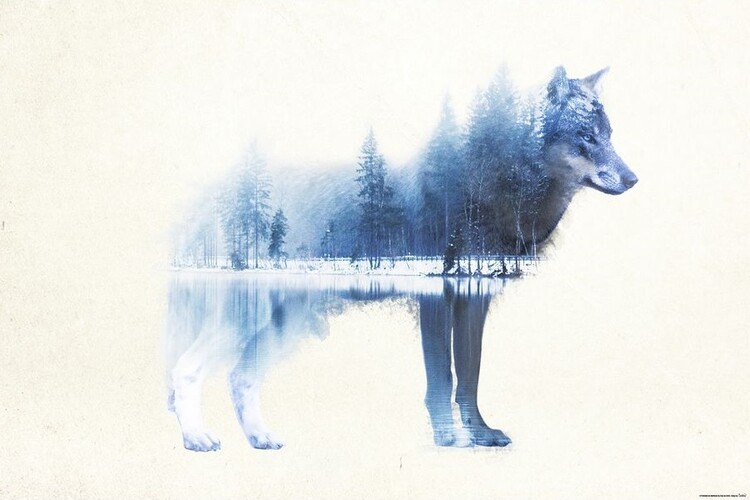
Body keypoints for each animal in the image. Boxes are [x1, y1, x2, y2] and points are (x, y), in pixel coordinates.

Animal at [166, 67, 637, 451]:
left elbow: (470, 378)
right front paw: (449, 438)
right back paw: (197, 440)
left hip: (280, 327)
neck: (496, 188)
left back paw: (260, 439)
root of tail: (209, 191)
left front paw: (480, 435)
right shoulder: (435, 298)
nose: (633, 179)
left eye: (609, 135)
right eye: (587, 138)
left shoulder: (474, 300)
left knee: (238, 378)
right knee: (185, 371)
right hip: (245, 319)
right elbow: (442, 379)